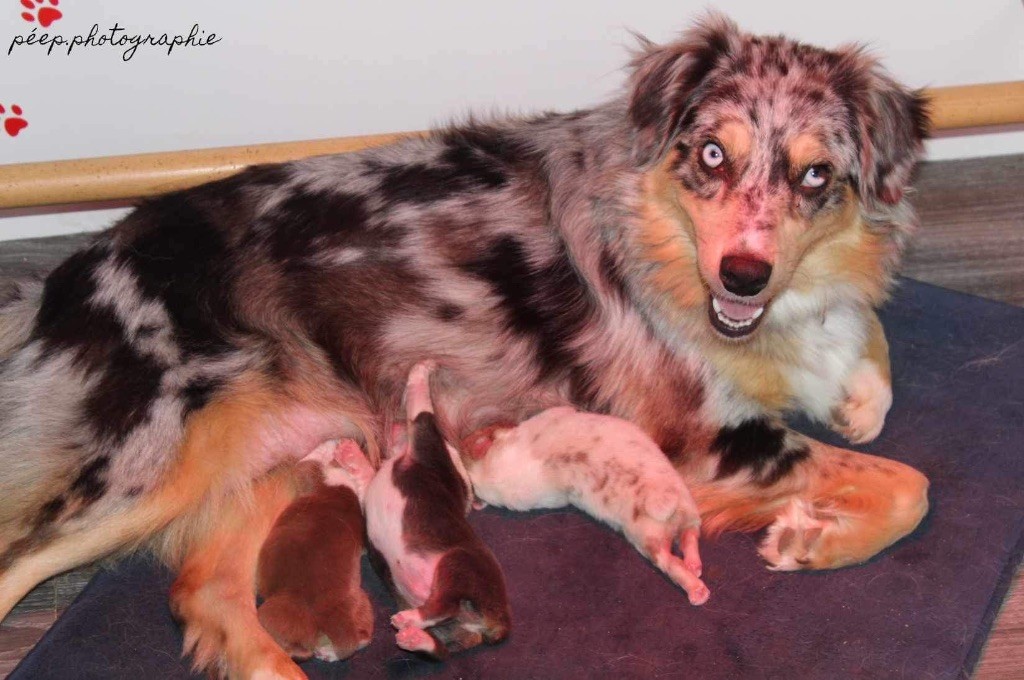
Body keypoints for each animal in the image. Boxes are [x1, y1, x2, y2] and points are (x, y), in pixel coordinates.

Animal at [256, 440, 376, 663]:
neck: (340, 488)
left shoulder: (308, 469)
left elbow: (310, 458)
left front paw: (331, 446)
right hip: (360, 601)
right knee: (361, 639)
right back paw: (330, 653)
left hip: (275, 612)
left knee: (300, 649)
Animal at [466, 409, 712, 606]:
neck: (486, 475)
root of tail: (660, 501)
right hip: (649, 535)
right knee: (674, 555)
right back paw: (696, 586)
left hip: (682, 508)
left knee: (688, 536)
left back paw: (694, 566)